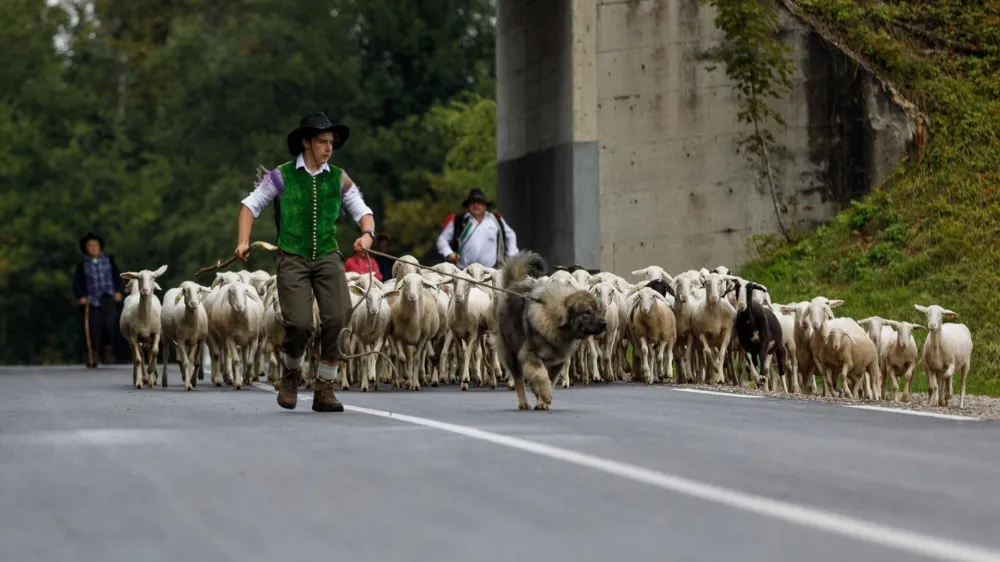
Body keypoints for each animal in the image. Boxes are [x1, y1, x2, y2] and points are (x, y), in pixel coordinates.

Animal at [492, 252, 608, 410]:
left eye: (599, 310)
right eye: (587, 312)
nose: (604, 324)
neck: (557, 323)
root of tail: (514, 284)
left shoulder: (557, 362)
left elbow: (549, 378)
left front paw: (542, 401)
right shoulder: (529, 354)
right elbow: (541, 375)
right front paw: (546, 395)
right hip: (512, 354)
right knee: (519, 379)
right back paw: (524, 402)